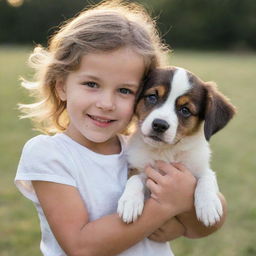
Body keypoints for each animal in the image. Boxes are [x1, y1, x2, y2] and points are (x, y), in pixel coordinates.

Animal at [117, 66, 235, 226]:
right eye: (152, 97)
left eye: (185, 110)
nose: (159, 125)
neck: (167, 152)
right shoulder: (141, 170)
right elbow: (134, 179)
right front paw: (129, 202)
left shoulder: (199, 167)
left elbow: (207, 178)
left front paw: (208, 205)